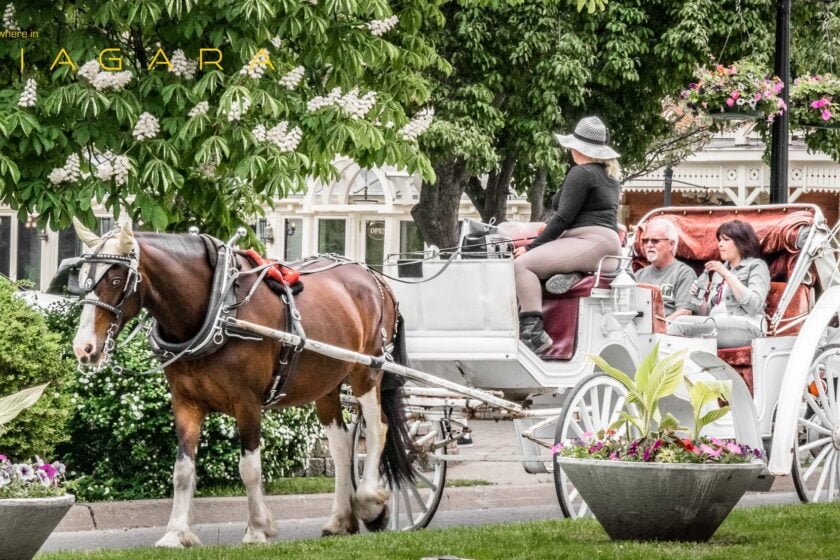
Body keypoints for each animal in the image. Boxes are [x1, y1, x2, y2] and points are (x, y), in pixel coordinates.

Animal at [69, 219, 414, 548]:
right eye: (82, 276)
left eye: (116, 280)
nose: (83, 347)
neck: (217, 304)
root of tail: (375, 278)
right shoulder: (185, 402)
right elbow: (182, 471)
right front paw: (176, 533)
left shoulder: (247, 402)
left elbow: (249, 468)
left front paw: (257, 528)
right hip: (326, 384)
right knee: (341, 445)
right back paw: (341, 519)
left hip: (367, 371)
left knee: (377, 427)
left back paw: (369, 502)